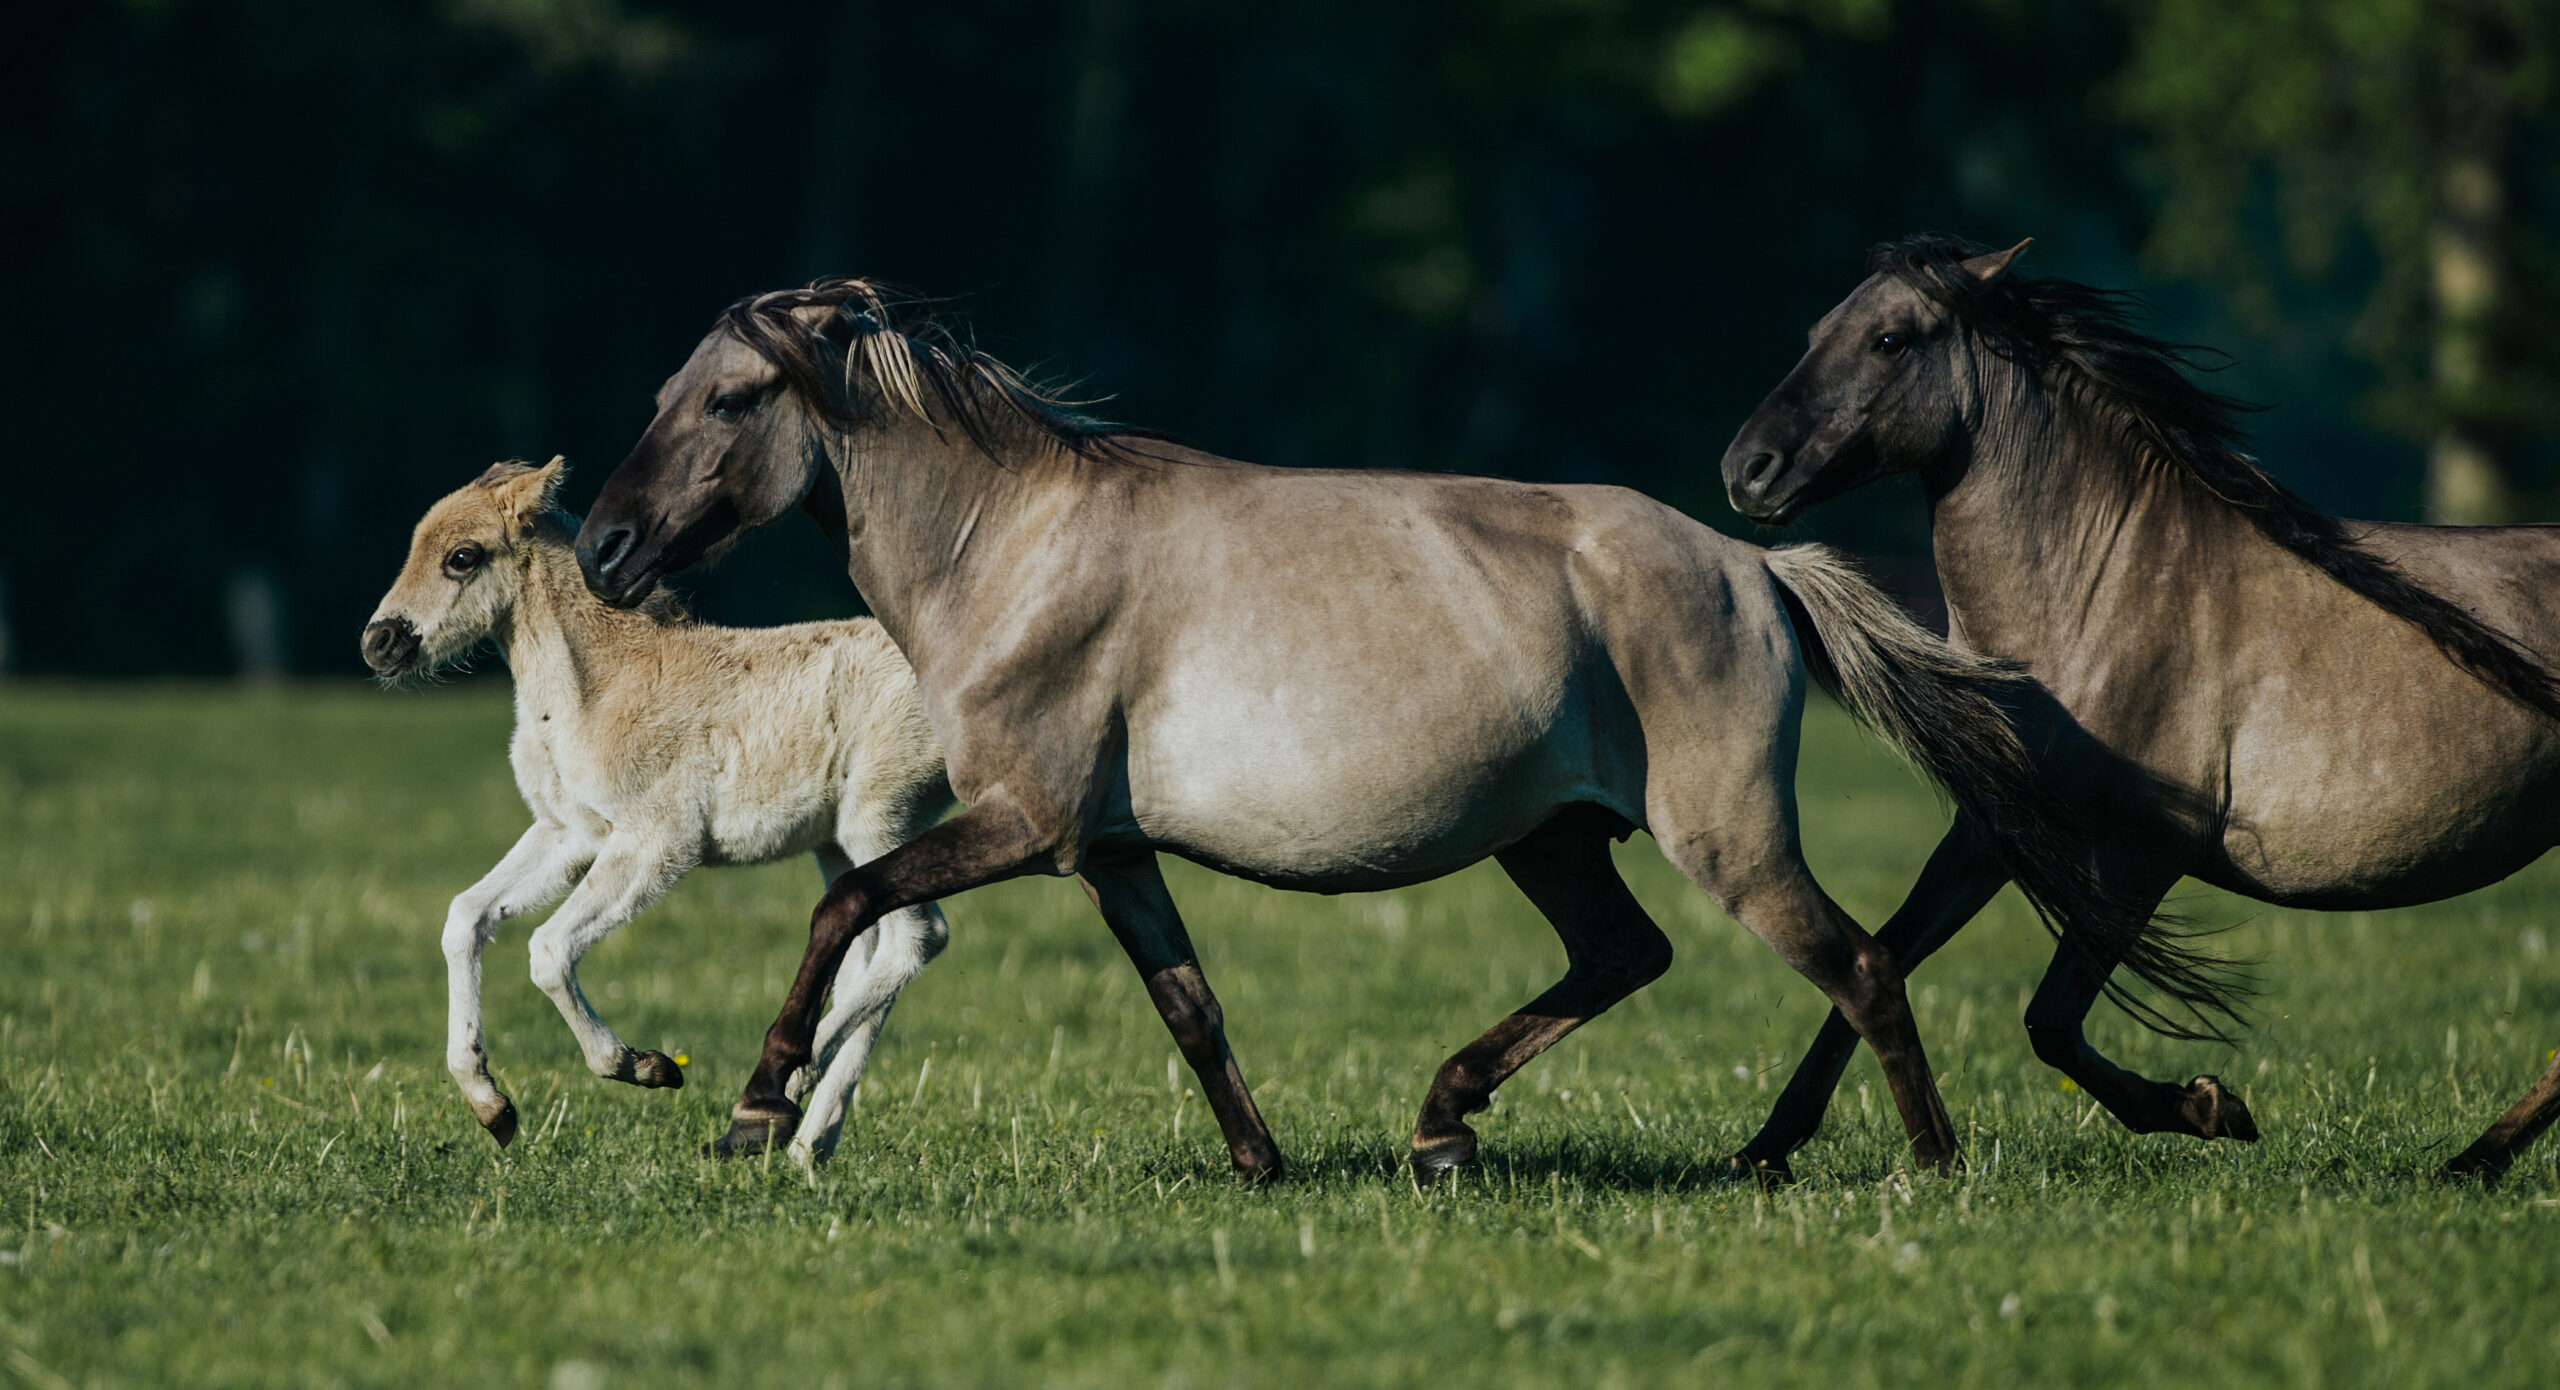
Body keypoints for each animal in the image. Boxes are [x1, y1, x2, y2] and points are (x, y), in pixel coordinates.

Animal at [576, 280, 2201, 1187]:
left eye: (732, 397)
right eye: (664, 391)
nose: (601, 549)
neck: (1015, 546)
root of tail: (1756, 566)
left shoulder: (1023, 823)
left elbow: (844, 900)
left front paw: (752, 1105)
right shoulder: (1109, 850)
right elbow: (1189, 1005)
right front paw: (1260, 1164)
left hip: (1725, 836)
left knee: (1858, 964)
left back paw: (1924, 1168)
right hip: (1555, 842)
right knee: (1626, 956)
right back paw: (1442, 1127)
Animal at [1710, 236, 2560, 1187]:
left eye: (1890, 339)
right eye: (1819, 330)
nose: (1745, 469)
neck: (2098, 592)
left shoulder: (2141, 856)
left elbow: (2048, 1022)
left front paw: (2209, 1107)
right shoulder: (1993, 832)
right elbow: (1883, 958)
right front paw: (1759, 1152)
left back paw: (2472, 1161)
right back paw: (2473, 1162)